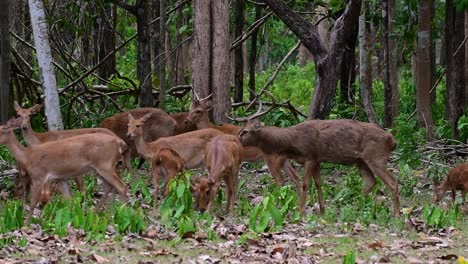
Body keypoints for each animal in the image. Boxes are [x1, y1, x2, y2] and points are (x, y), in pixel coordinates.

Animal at [0, 117, 128, 225]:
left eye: (1, 130)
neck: (27, 156)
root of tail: (120, 142)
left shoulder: (39, 176)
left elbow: (33, 202)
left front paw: (25, 225)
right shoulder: (60, 177)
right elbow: (68, 199)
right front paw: (71, 218)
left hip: (104, 164)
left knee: (120, 186)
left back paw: (121, 214)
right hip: (99, 167)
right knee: (110, 186)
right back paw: (101, 215)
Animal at [236, 115, 400, 217]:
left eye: (245, 131)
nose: (236, 139)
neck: (292, 142)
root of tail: (392, 140)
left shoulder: (310, 156)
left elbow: (305, 184)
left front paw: (300, 211)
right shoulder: (317, 159)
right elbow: (319, 183)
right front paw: (322, 210)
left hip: (376, 157)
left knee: (392, 181)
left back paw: (397, 214)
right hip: (361, 161)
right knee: (371, 181)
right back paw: (354, 208)